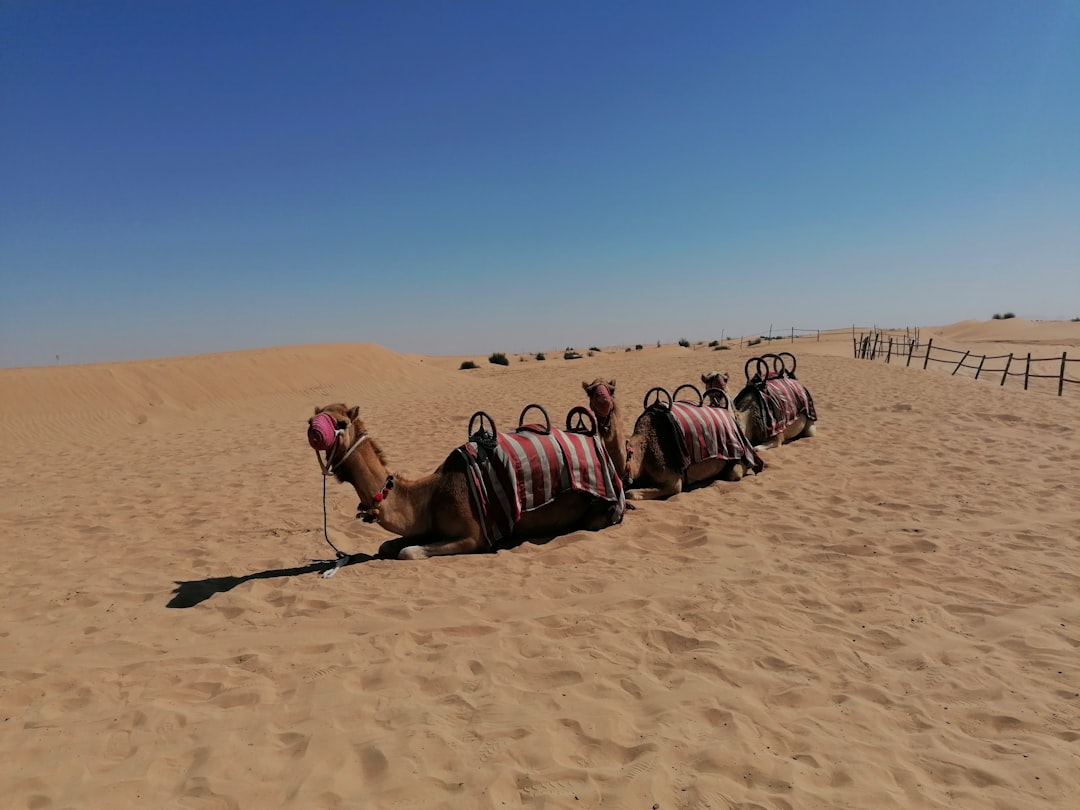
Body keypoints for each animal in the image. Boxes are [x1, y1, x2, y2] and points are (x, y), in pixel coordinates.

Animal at [307, 403, 625, 560]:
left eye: (341, 423)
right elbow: (388, 546)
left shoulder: (474, 537)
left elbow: (409, 552)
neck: (431, 494)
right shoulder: (427, 526)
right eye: (316, 415)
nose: (313, 429)